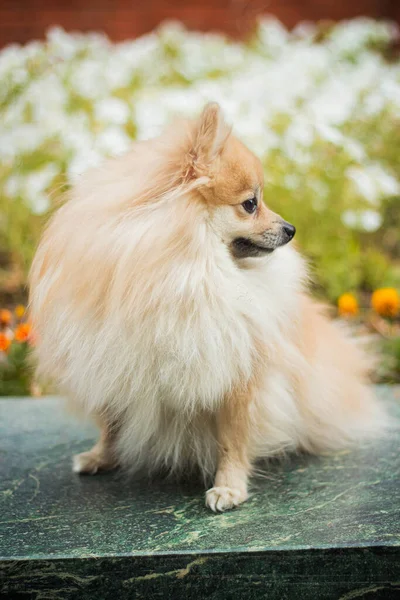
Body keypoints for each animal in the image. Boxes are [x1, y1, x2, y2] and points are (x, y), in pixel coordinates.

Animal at [29, 102, 386, 510]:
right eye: (251, 204)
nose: (291, 228)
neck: (189, 272)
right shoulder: (115, 360)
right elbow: (111, 420)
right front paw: (101, 455)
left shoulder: (237, 373)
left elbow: (233, 439)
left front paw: (229, 487)